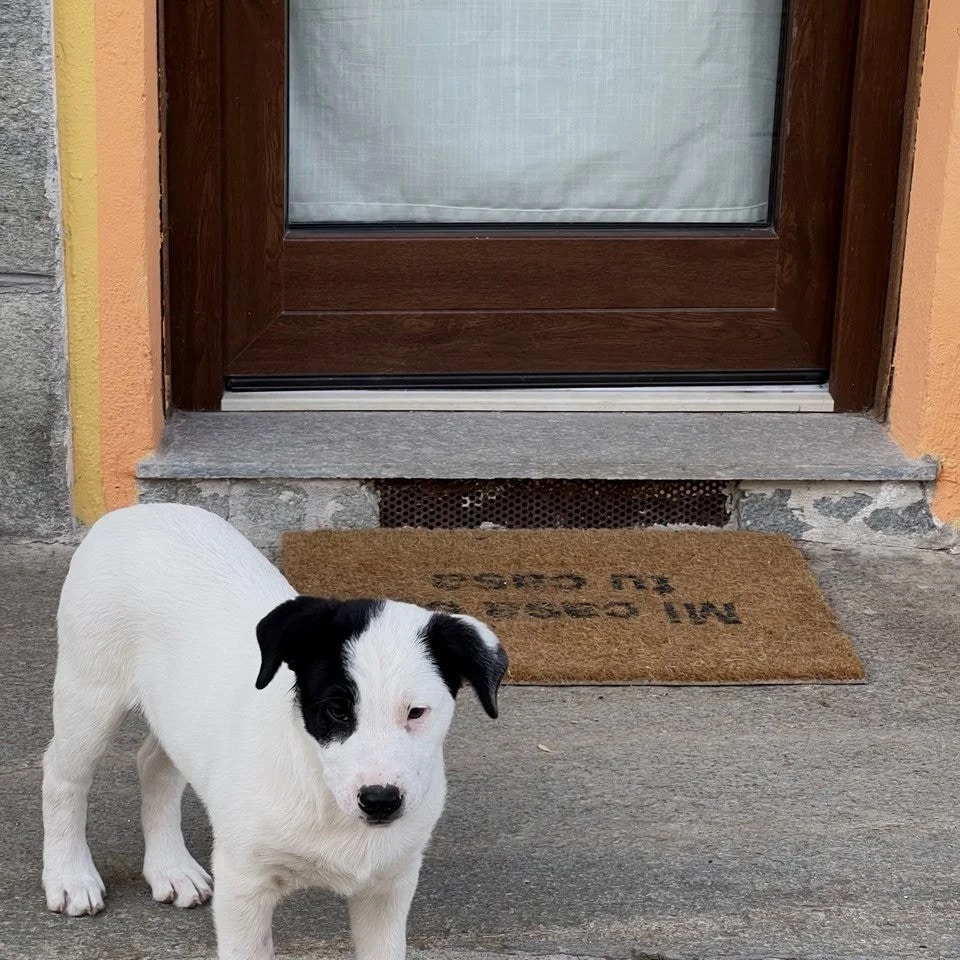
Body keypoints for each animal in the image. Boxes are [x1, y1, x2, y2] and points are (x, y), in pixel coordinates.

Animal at [41, 506, 506, 956]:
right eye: (336, 710)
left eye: (416, 712)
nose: (380, 801)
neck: (320, 787)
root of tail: (131, 511)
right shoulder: (244, 884)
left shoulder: (389, 887)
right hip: (89, 692)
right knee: (62, 775)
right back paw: (70, 876)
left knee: (154, 763)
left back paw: (170, 868)